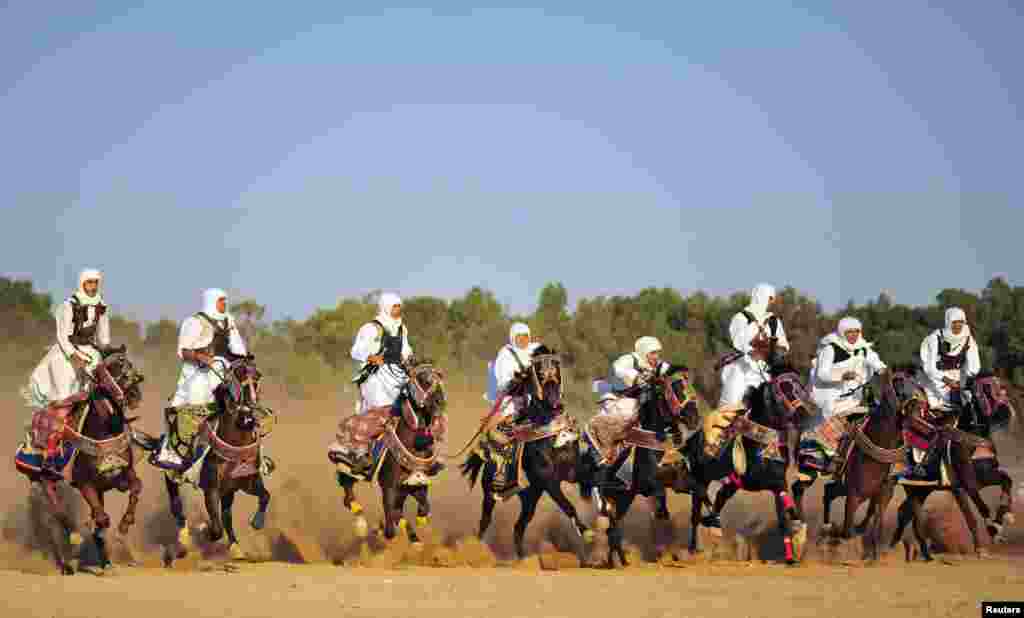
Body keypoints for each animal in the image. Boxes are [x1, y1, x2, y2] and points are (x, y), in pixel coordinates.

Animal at [13, 349, 146, 577]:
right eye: (111, 369)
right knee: (56, 517)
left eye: (129, 363)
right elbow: (100, 518)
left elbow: (136, 487)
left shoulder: (121, 475)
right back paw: (68, 560)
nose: (134, 393)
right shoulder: (85, 484)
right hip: (45, 481)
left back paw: (103, 561)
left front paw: (124, 526)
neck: (104, 430)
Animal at [335, 360, 448, 544]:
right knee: (348, 489)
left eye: (440, 377)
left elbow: (423, 507)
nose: (440, 401)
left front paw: (416, 532)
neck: (413, 445)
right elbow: (389, 529)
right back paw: (361, 523)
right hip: (346, 465)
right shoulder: (388, 486)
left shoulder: (415, 485)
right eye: (423, 378)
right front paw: (381, 530)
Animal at [458, 347, 593, 560]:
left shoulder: (572, 471)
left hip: (530, 496)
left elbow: (586, 478)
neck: (550, 433)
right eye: (539, 373)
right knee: (485, 521)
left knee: (519, 526)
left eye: (556, 369)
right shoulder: (549, 480)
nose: (556, 404)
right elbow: (568, 505)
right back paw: (477, 548)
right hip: (491, 492)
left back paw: (522, 557)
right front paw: (587, 532)